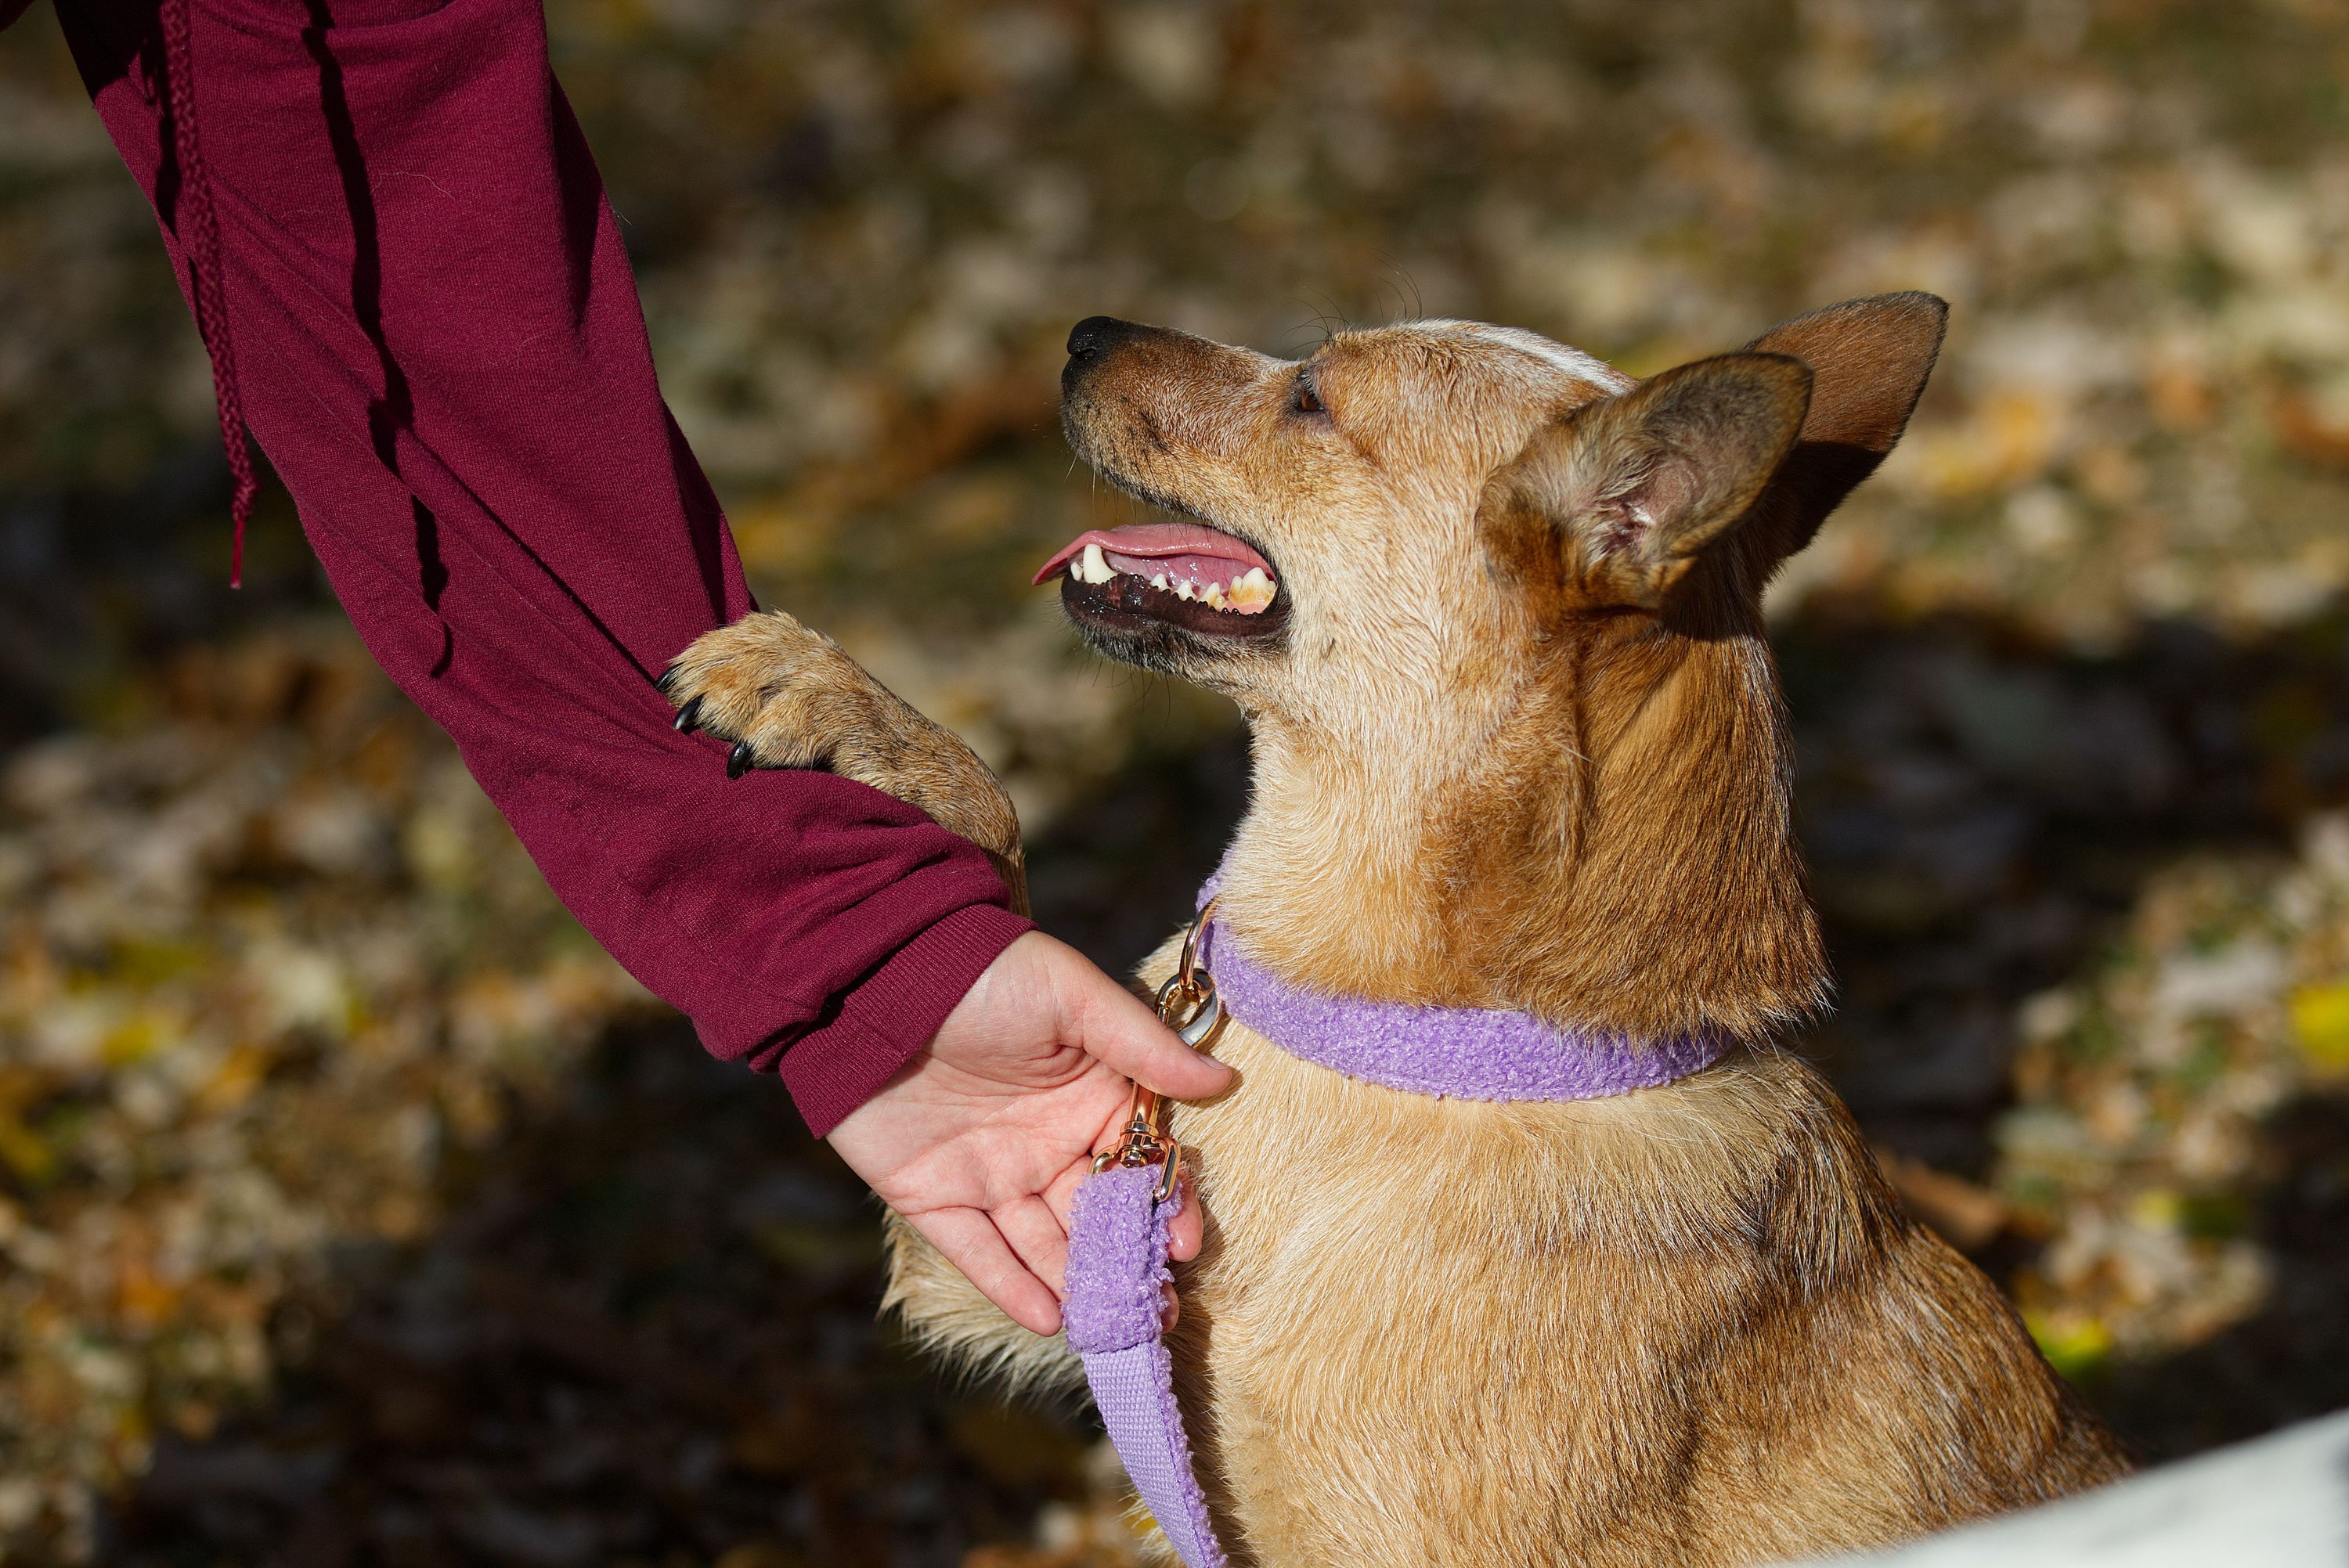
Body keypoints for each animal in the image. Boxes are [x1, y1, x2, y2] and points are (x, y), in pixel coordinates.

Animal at [662, 297, 2133, 1568]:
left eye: (1311, 395)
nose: (1082, 329)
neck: (1427, 1043)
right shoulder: (1033, 1250)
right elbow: (989, 863)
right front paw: (824, 690)